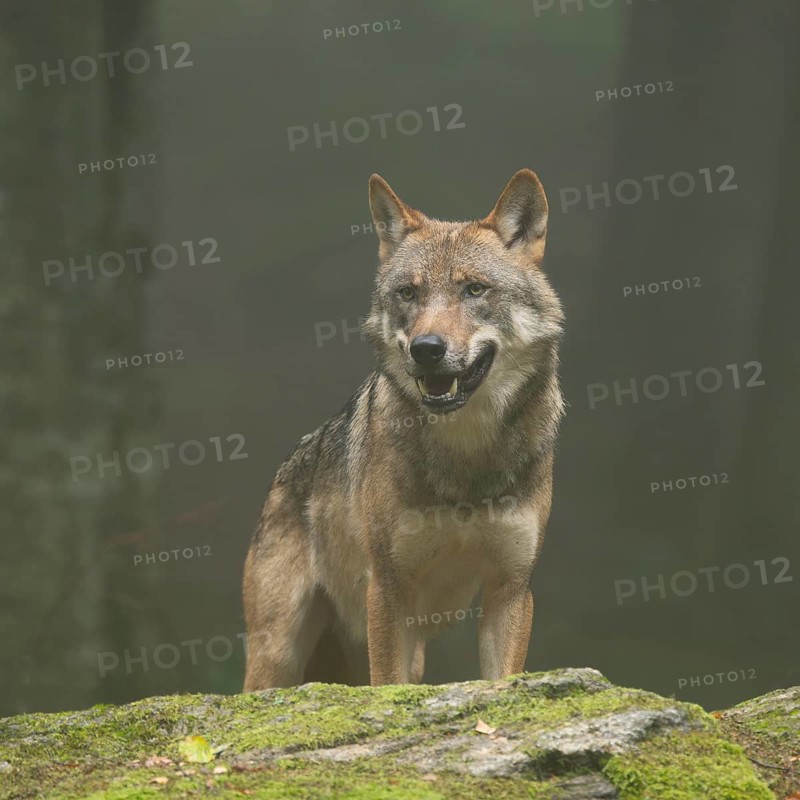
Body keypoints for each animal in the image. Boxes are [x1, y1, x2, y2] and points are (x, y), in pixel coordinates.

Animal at [242, 169, 564, 688]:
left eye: (474, 290)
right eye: (409, 293)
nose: (426, 348)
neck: (465, 454)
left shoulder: (510, 589)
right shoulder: (389, 588)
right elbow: (386, 686)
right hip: (278, 654)